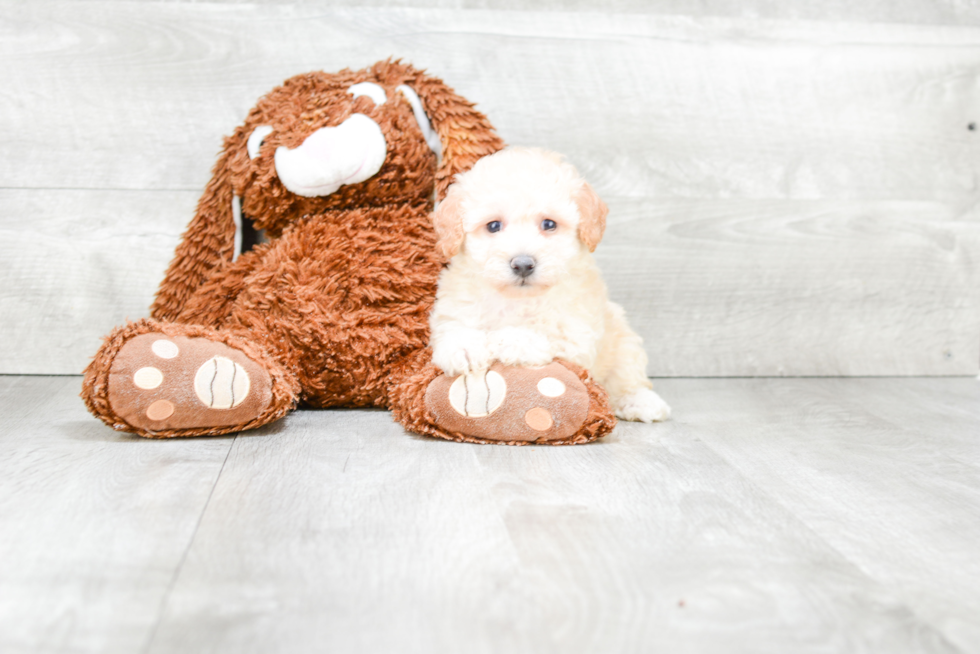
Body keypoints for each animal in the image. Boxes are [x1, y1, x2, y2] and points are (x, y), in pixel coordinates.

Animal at [430, 147, 668, 426]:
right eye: (493, 226)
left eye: (549, 224)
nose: (523, 264)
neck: (516, 300)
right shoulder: (455, 308)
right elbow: (455, 329)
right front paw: (464, 347)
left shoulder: (577, 335)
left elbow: (545, 334)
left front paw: (511, 339)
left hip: (623, 341)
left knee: (628, 378)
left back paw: (640, 401)